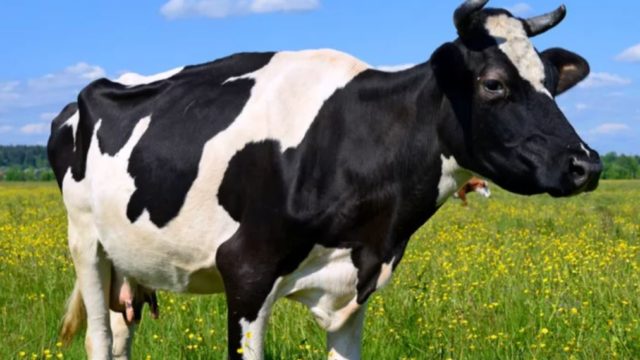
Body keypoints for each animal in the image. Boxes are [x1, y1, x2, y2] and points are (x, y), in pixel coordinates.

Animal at [48, 1, 600, 358]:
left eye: (552, 83)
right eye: (493, 84)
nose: (586, 164)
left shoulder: (356, 286)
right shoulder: (245, 272)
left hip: (129, 261)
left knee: (121, 334)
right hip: (86, 242)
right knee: (99, 338)